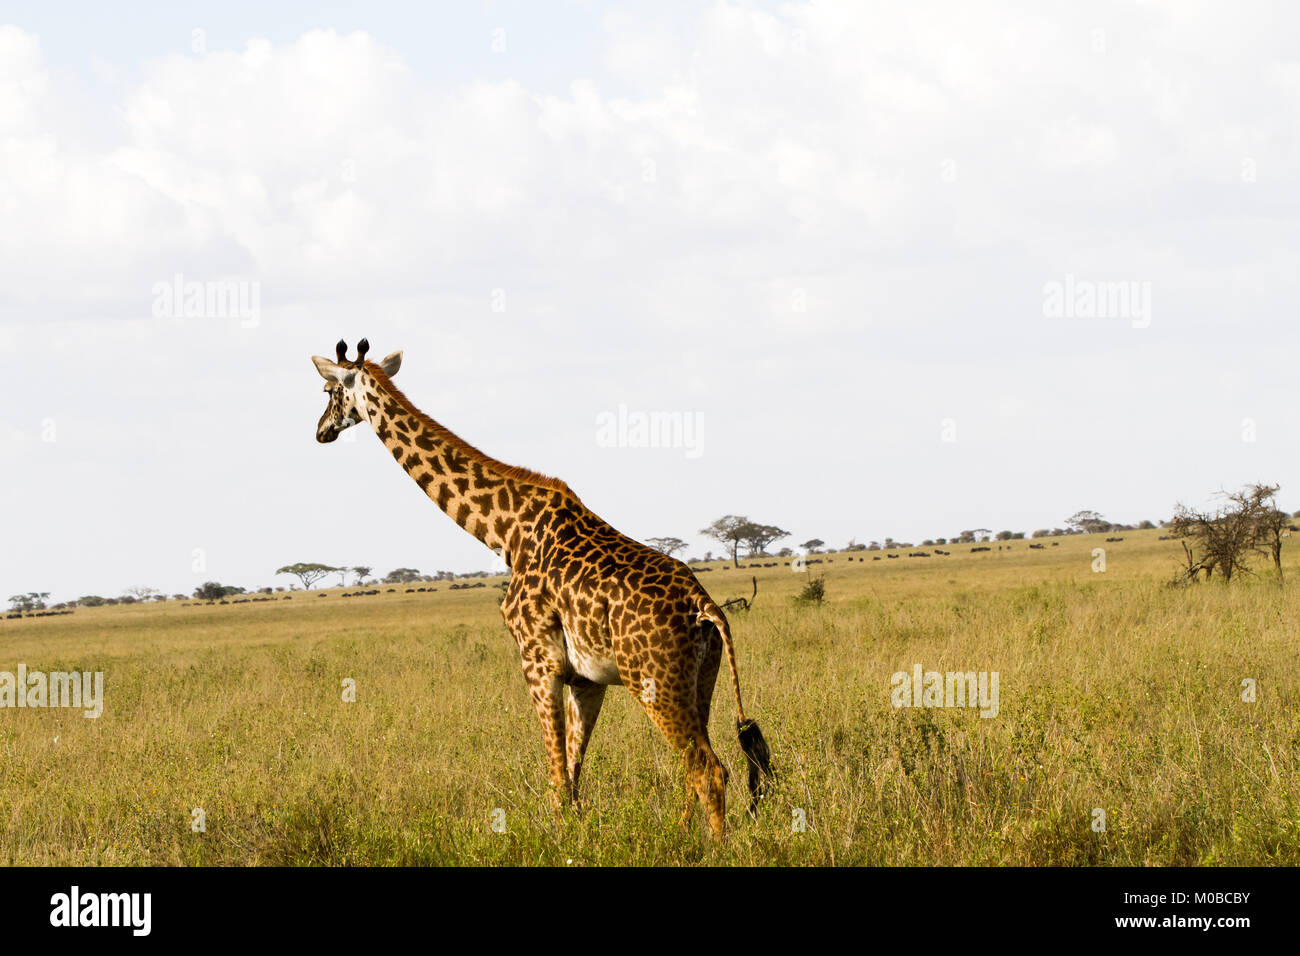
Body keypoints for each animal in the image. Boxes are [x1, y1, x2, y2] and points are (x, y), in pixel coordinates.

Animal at [310, 340, 769, 832]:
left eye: (329, 390)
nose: (320, 431)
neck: (506, 533)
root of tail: (704, 605)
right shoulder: (586, 679)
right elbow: (573, 777)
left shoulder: (537, 660)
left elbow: (557, 783)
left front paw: (560, 837)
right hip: (702, 678)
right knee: (695, 768)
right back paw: (683, 838)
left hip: (653, 680)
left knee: (708, 769)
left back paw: (710, 844)